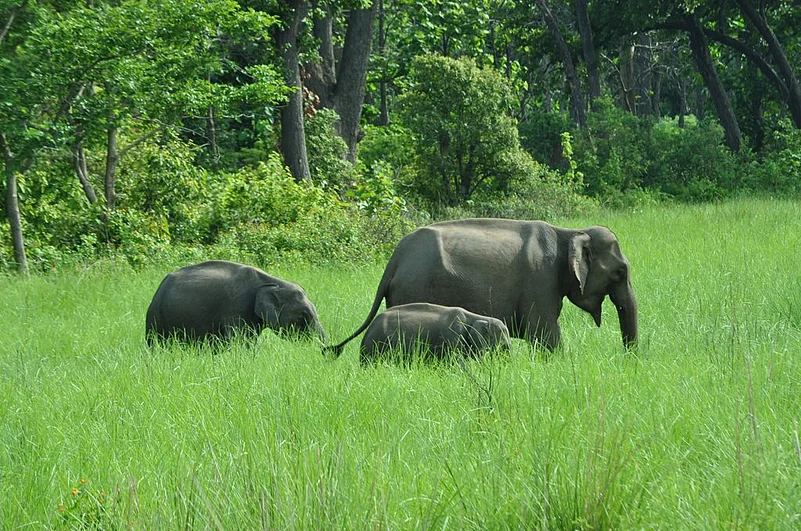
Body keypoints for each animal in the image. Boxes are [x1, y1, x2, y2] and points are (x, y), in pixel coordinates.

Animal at [325, 218, 637, 356]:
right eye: (620, 272)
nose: (628, 359)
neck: (569, 232)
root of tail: (395, 258)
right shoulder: (540, 280)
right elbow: (544, 332)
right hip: (413, 287)